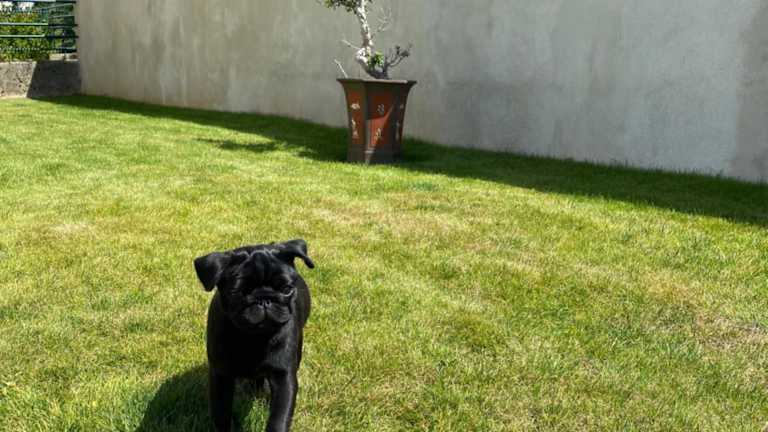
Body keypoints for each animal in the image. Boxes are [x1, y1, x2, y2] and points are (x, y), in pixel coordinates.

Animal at [194, 239, 315, 432]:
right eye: (237, 292)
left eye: (287, 289)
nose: (264, 299)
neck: (253, 338)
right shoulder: (221, 376)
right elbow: (221, 413)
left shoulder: (283, 376)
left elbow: (280, 416)